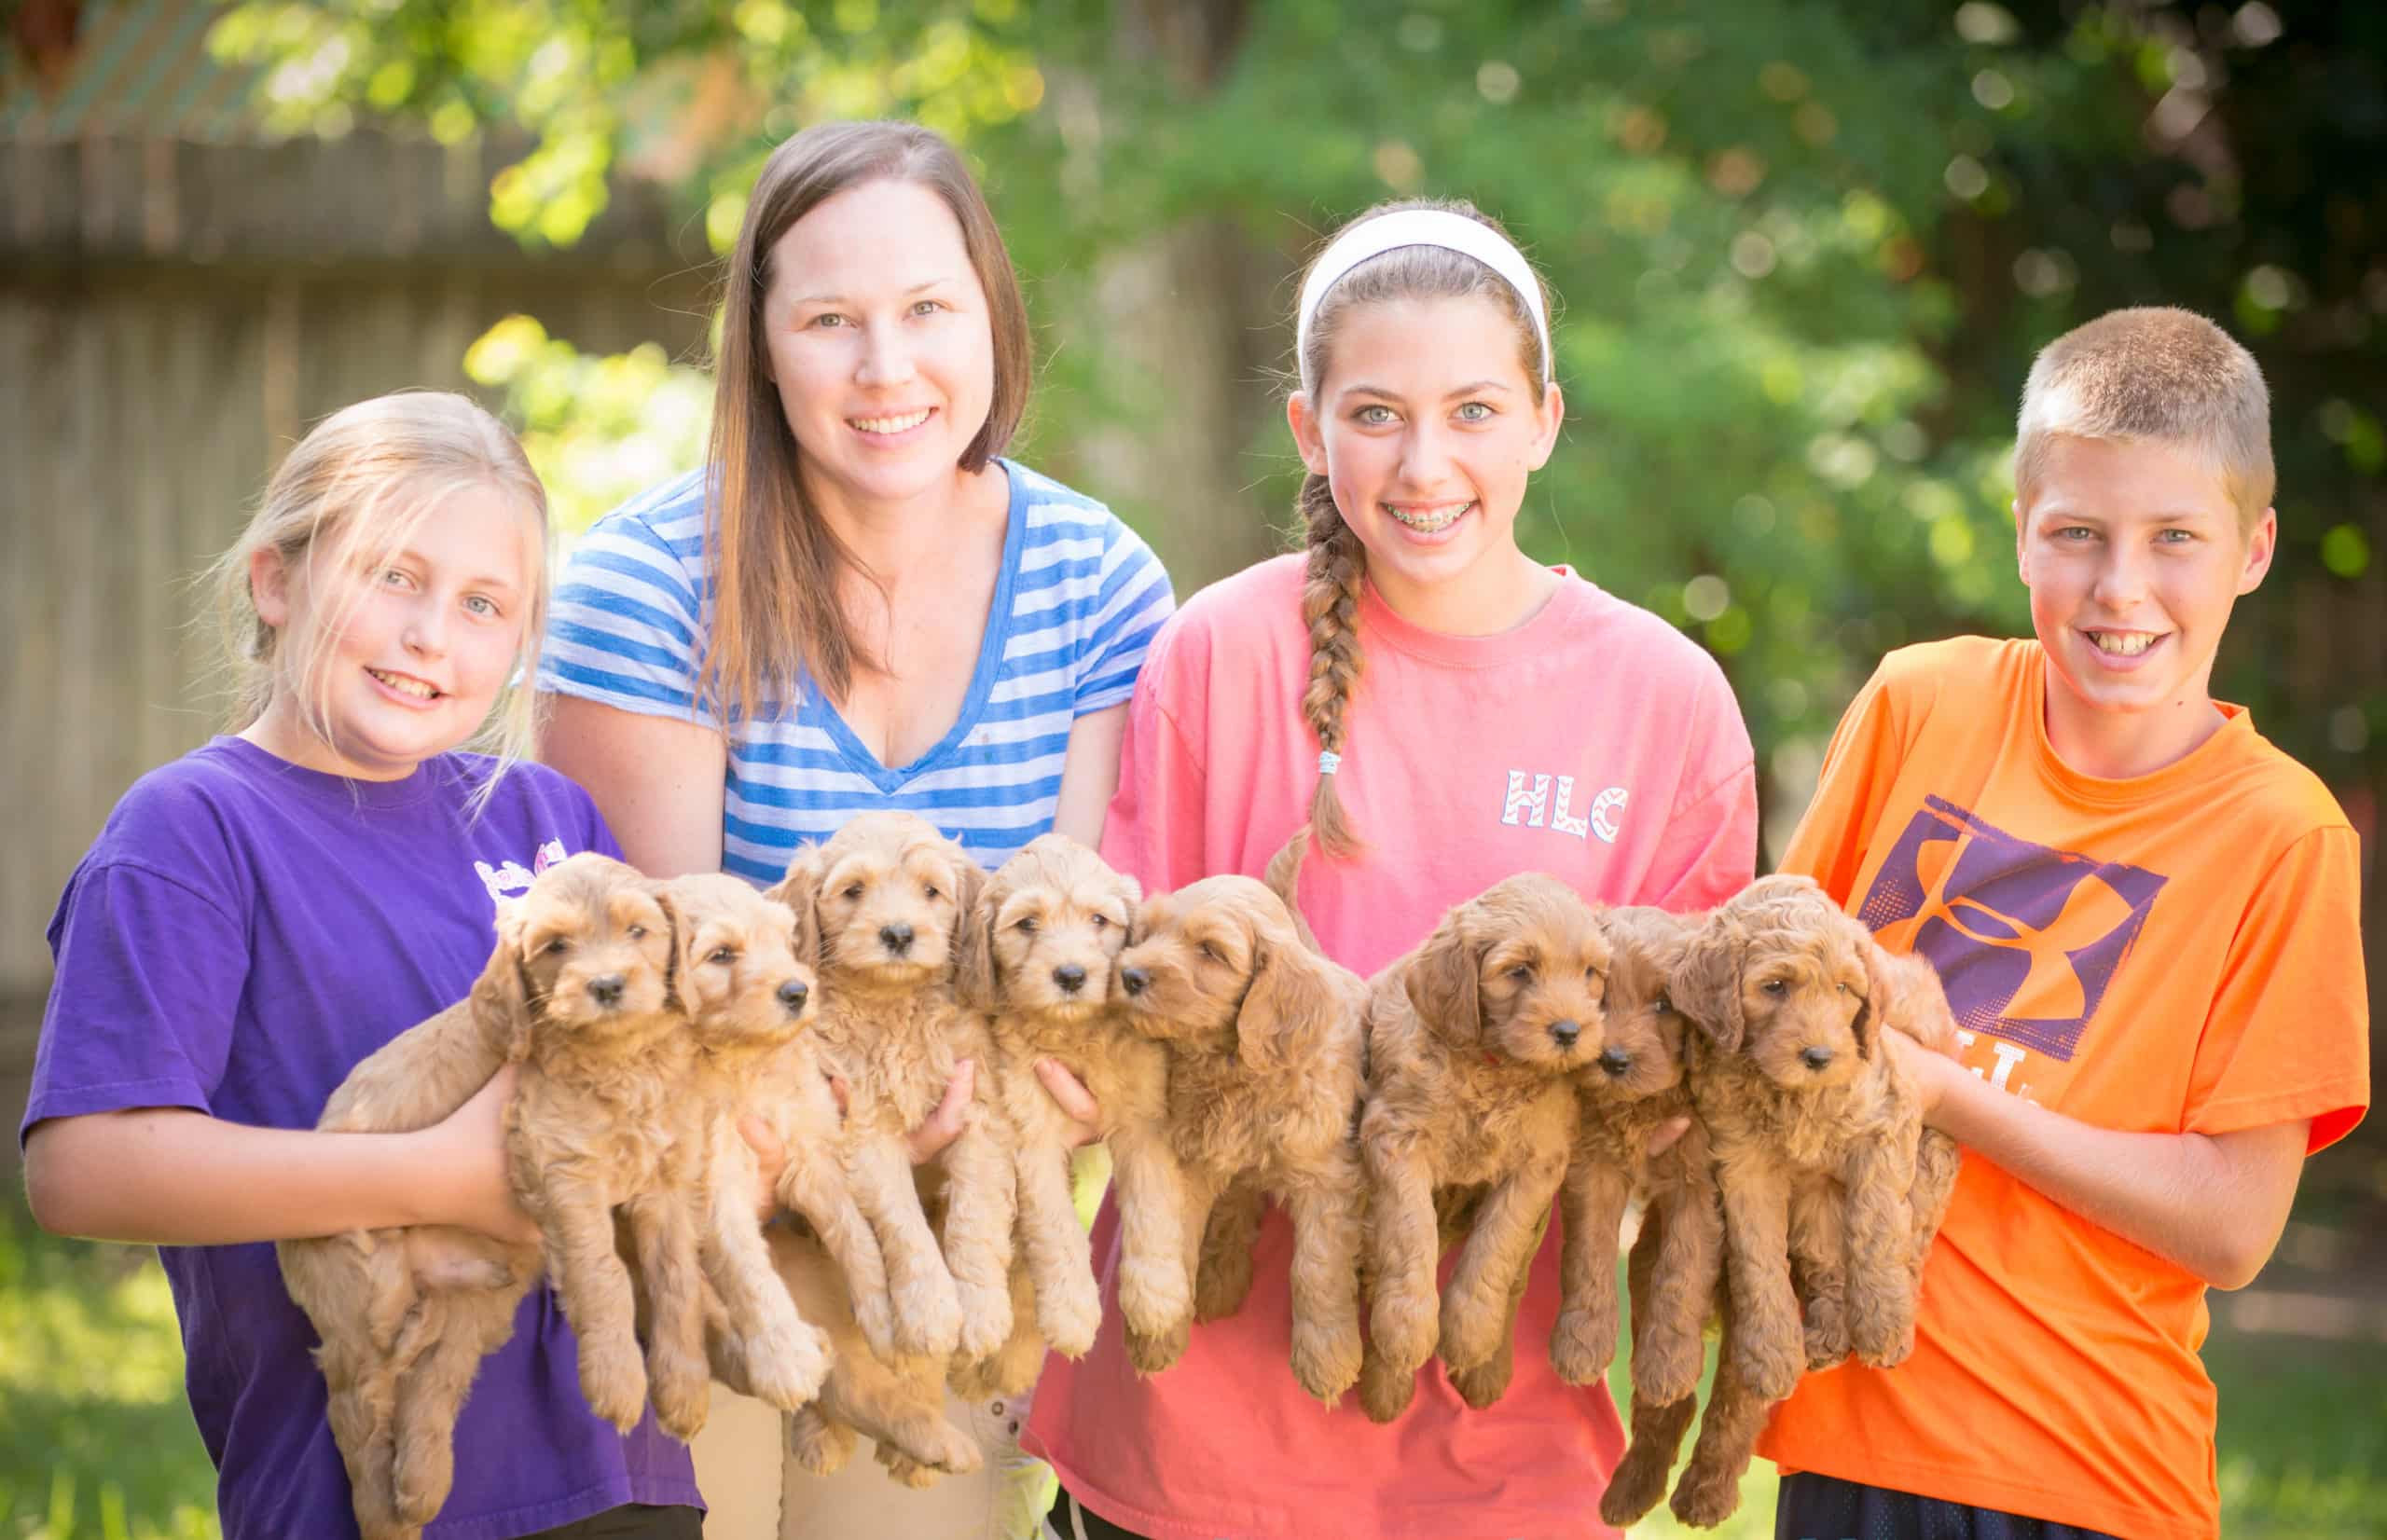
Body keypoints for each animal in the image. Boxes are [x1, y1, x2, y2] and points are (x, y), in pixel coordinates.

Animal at [768, 811, 1012, 1366]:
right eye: (854, 891)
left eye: (931, 891)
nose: (898, 933)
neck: (894, 1003)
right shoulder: (866, 1129)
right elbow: (905, 1226)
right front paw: (931, 1311)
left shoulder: (979, 1106)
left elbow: (974, 1215)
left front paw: (981, 1308)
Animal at [1111, 869, 1374, 1404]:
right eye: (1147, 933)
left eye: (1211, 951)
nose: (1129, 975)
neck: (1234, 1065)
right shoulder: (1189, 1160)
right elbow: (1175, 1236)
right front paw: (1159, 1334)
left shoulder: (1328, 1178)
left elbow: (1315, 1269)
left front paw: (1326, 1356)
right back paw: (1220, 1278)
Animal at [1356, 869, 1613, 1423]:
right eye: (1519, 971)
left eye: (1590, 972)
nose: (1570, 1031)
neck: (1495, 1067)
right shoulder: (1394, 1137)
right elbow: (1411, 1232)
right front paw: (1407, 1331)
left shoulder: (1538, 1165)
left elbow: (1496, 1245)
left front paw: (1469, 1335)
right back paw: (1386, 1384)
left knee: (1515, 1282)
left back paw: (1486, 1370)